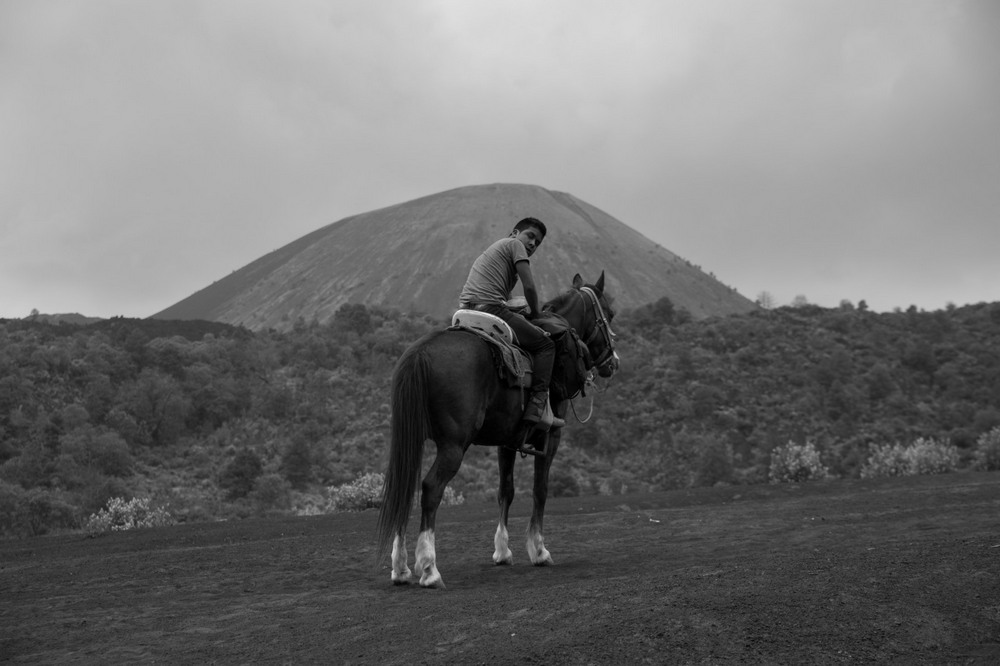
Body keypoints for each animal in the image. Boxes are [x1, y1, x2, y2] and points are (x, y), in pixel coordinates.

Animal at [376, 270, 616, 588]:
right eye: (609, 314)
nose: (613, 362)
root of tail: (419, 353)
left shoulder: (507, 440)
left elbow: (506, 490)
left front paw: (502, 551)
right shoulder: (551, 436)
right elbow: (540, 490)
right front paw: (539, 550)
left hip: (411, 440)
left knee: (404, 488)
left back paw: (401, 568)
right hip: (453, 445)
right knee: (430, 489)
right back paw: (429, 568)